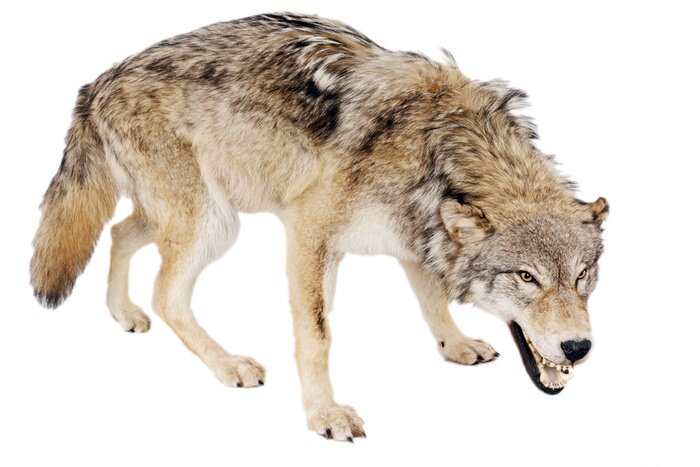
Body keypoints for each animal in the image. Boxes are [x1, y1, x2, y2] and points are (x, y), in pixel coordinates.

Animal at [30, 12, 608, 441]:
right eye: (526, 277)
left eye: (582, 277)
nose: (578, 348)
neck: (436, 147)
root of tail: (95, 84)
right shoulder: (309, 235)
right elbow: (318, 336)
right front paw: (324, 416)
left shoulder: (411, 241)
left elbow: (433, 303)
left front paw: (457, 344)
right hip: (215, 224)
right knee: (166, 293)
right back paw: (228, 364)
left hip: (191, 215)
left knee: (118, 233)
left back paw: (123, 313)